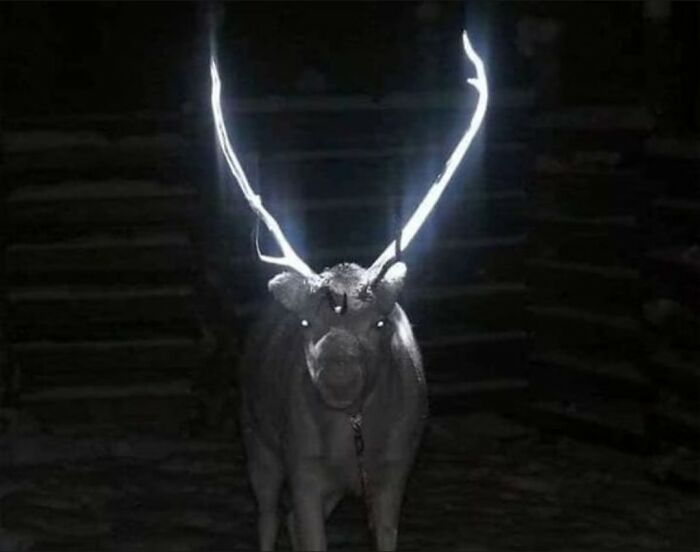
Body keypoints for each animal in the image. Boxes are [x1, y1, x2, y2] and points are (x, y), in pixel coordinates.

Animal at [210, 31, 488, 552]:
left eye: (378, 321)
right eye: (305, 321)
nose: (337, 374)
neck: (353, 438)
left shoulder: (395, 470)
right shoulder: (302, 465)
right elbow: (303, 525)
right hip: (256, 437)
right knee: (269, 515)